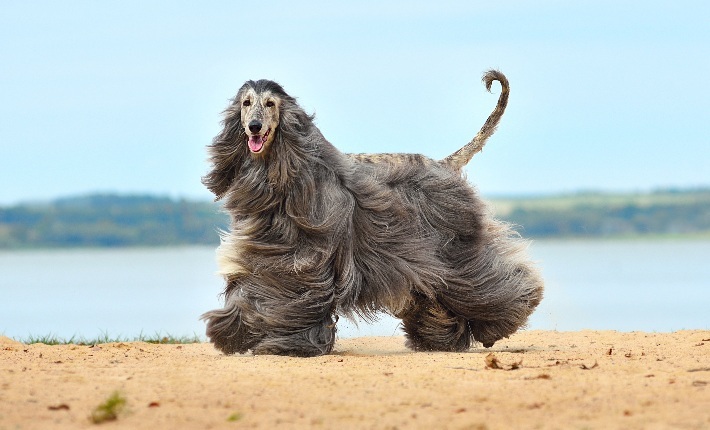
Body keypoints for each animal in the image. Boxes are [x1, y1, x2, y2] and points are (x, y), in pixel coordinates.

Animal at [200, 70, 544, 356]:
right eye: (246, 103)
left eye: (270, 103)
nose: (254, 127)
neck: (285, 172)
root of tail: (444, 164)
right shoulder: (270, 250)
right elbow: (248, 285)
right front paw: (232, 333)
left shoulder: (302, 259)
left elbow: (282, 294)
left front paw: (276, 343)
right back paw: (440, 337)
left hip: (453, 247)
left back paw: (503, 320)